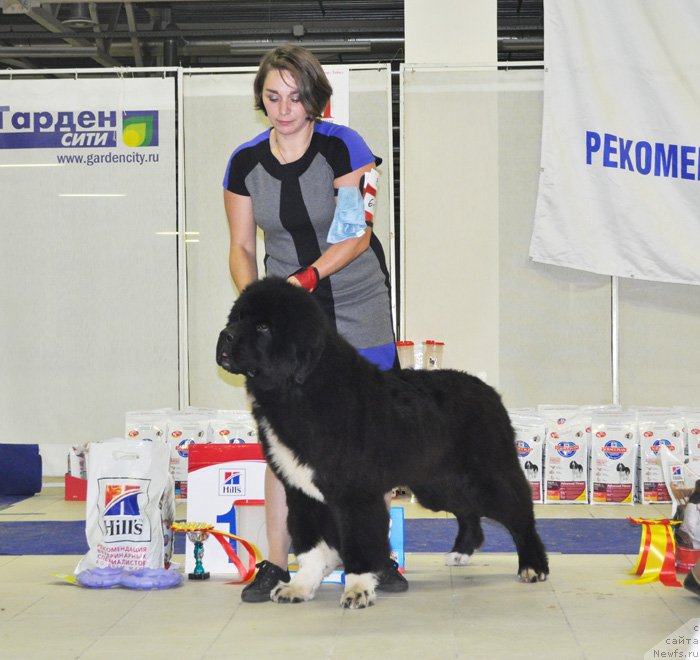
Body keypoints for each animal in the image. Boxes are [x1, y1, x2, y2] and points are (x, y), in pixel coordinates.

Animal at [216, 278, 548, 608]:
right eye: (237, 318)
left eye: (263, 327)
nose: (225, 336)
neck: (301, 390)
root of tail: (487, 390)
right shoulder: (301, 491)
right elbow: (310, 544)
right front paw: (300, 586)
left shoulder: (356, 492)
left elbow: (359, 541)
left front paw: (357, 589)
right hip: (438, 483)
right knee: (467, 511)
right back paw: (461, 552)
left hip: (484, 475)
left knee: (518, 509)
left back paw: (533, 565)